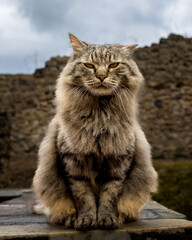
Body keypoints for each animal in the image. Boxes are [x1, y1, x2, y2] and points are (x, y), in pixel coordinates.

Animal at [33, 33, 158, 231]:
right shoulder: (74, 164)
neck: (100, 116)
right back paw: (69, 219)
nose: (101, 76)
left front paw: (107, 219)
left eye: (113, 65)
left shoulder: (118, 163)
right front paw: (86, 220)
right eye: (89, 66)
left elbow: (109, 196)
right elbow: (84, 198)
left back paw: (122, 217)